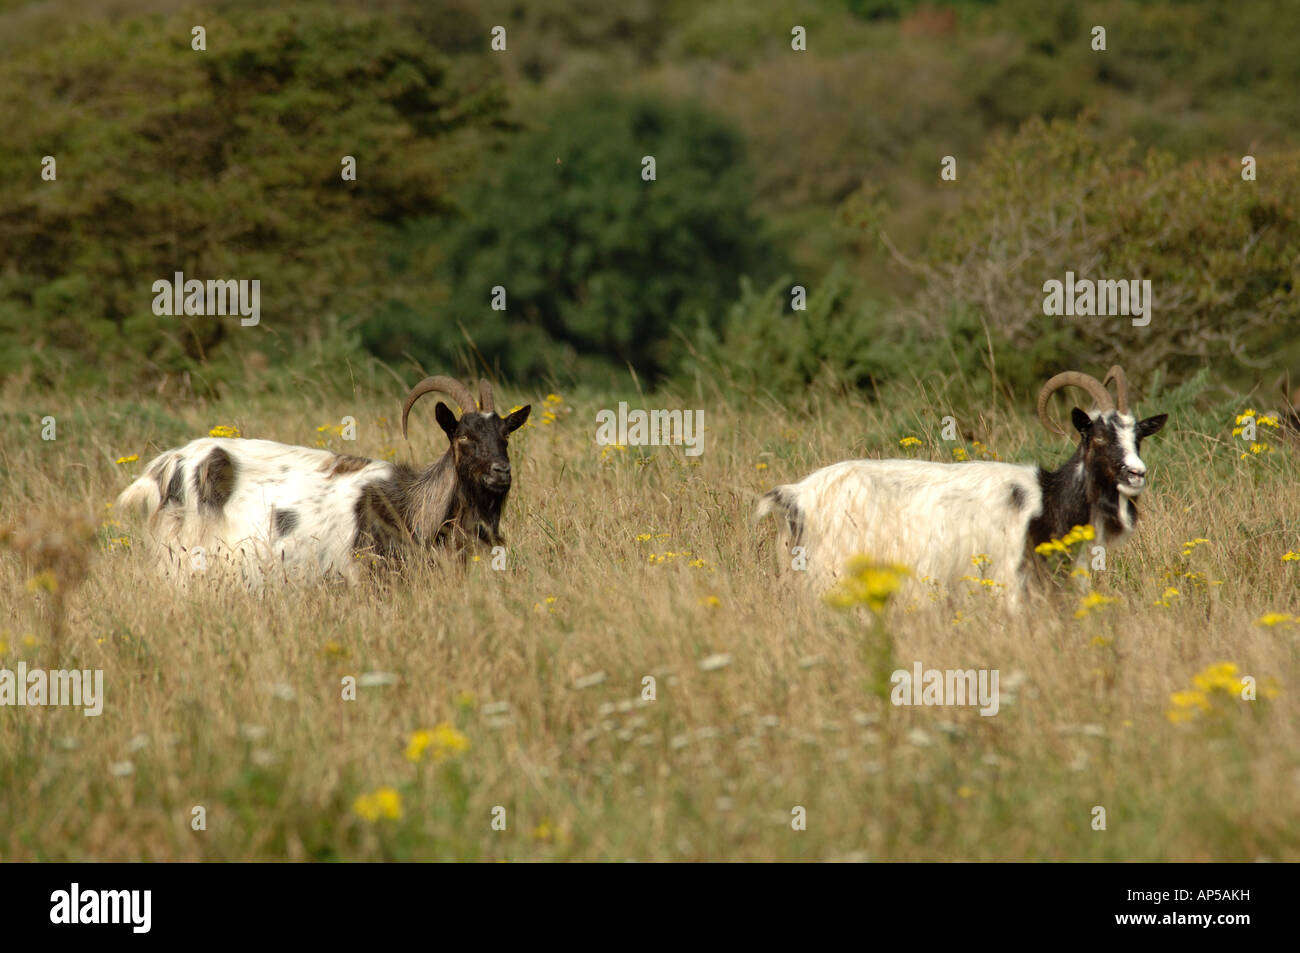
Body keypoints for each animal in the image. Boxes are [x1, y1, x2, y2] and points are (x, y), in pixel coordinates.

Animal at [754, 364, 1170, 603]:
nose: (1136, 473)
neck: (1047, 500)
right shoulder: (1010, 579)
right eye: (1097, 437)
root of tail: (795, 495)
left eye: (1138, 437)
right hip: (831, 574)